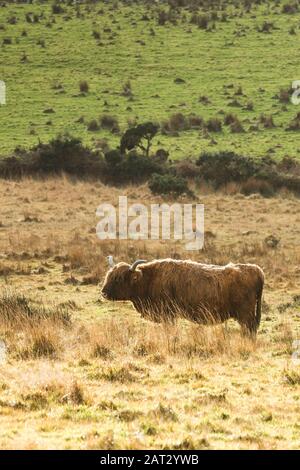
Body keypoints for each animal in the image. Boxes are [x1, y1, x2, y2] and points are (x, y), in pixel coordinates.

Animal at [101, 260, 264, 334]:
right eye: (108, 275)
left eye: (118, 279)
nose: (103, 292)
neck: (149, 279)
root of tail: (256, 269)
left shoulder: (168, 315)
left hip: (246, 315)